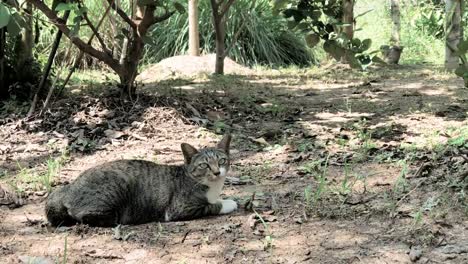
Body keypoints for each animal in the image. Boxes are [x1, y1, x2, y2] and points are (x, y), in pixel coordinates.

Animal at [45, 135, 238, 226]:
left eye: (222, 161)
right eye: (204, 165)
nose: (217, 172)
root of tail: (69, 188)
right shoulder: (179, 209)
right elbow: (212, 206)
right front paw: (228, 203)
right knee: (85, 217)